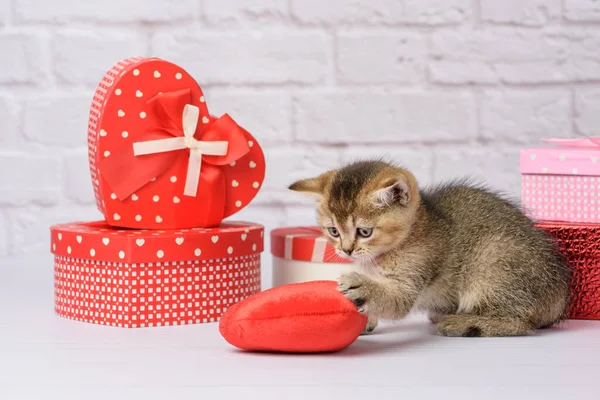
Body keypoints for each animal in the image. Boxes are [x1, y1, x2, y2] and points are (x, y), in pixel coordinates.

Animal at [290, 160, 572, 338]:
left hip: (492, 259)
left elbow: (393, 300)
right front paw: (366, 319)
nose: (346, 251)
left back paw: (464, 323)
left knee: (522, 322)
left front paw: (363, 289)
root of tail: (560, 294)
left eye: (364, 232)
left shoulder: (414, 273)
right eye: (333, 231)